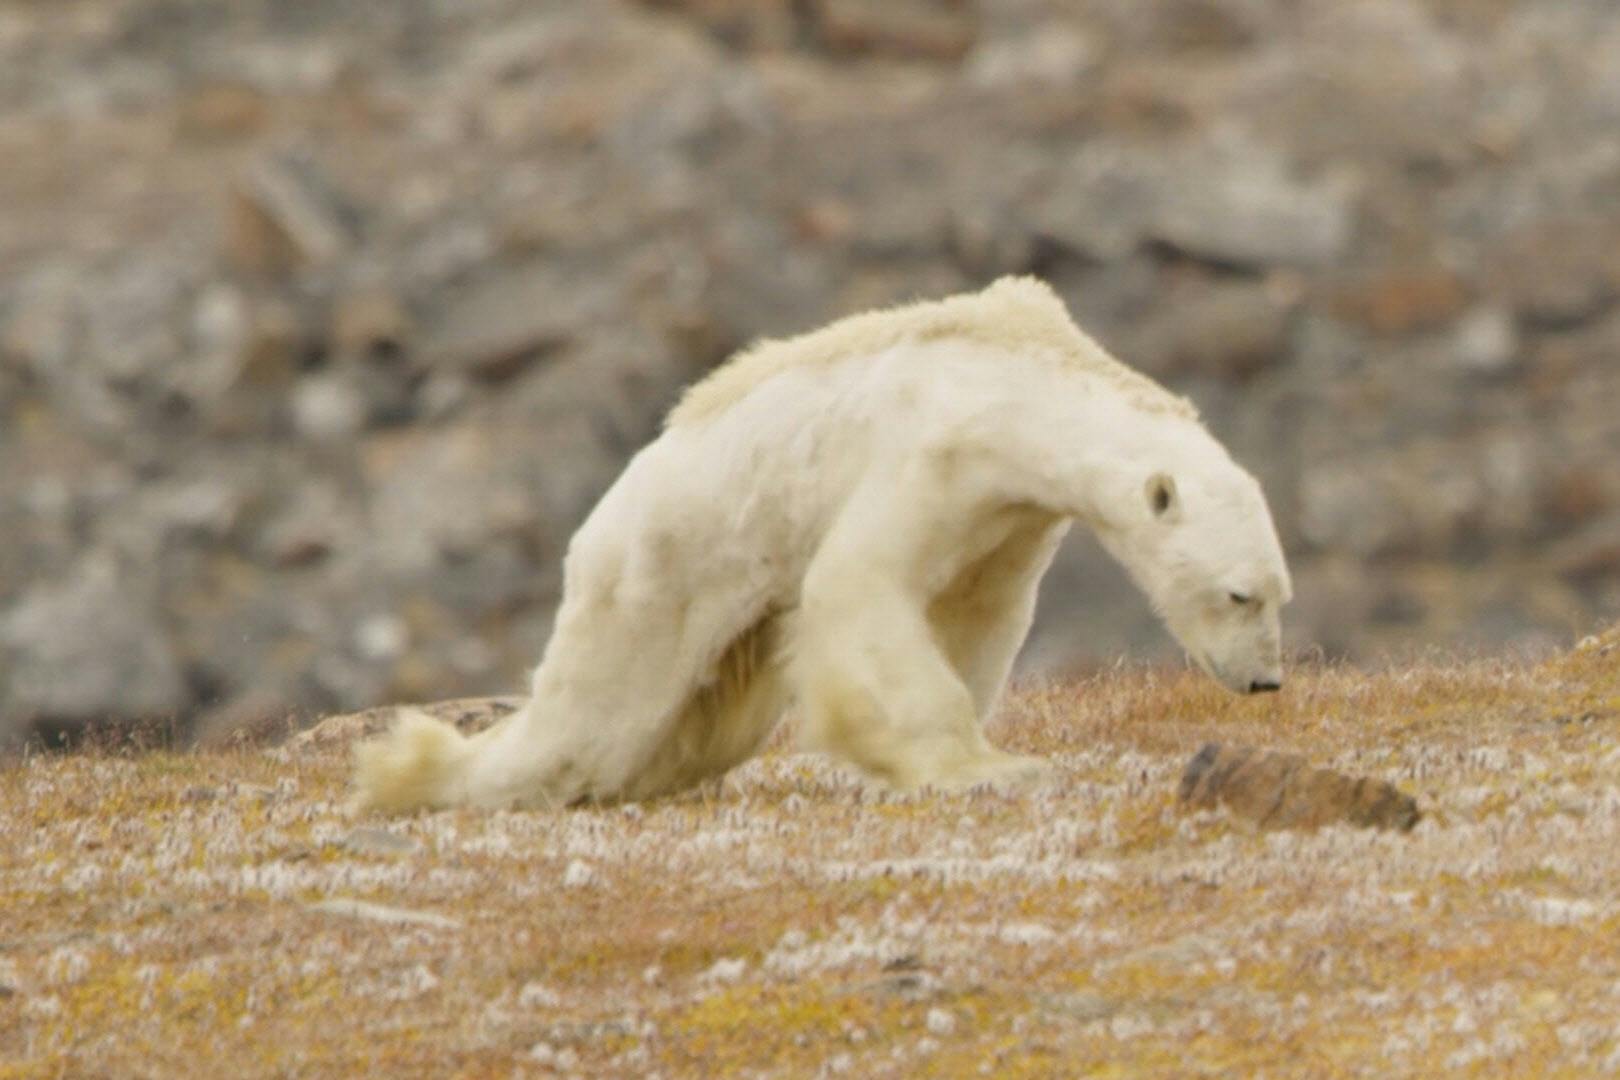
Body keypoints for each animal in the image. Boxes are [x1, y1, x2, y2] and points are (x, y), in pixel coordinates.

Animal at [354, 276, 1289, 809]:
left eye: (1279, 594)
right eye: (1238, 593)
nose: (1265, 680)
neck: (1021, 379)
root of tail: (597, 522)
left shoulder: (1010, 516)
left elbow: (977, 614)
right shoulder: (930, 452)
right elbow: (860, 588)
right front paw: (981, 767)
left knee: (696, 726)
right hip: (659, 569)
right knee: (593, 721)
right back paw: (415, 776)